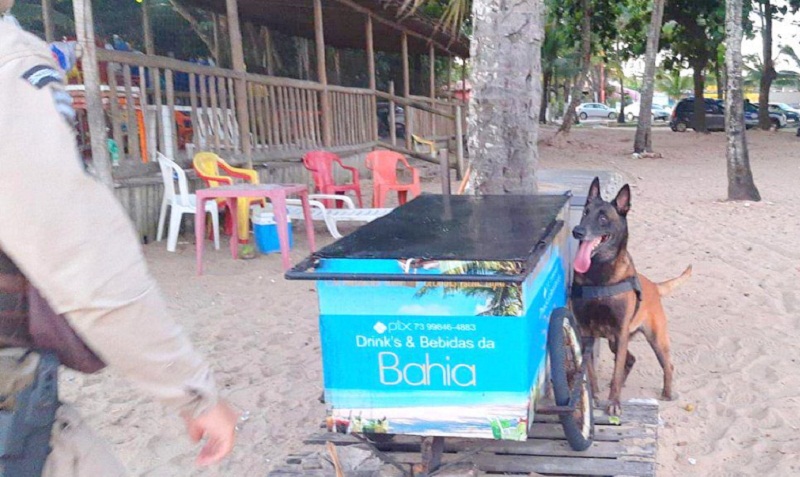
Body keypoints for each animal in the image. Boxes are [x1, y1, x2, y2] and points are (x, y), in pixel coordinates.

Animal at [572, 177, 692, 414]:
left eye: (602, 218)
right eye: (585, 212)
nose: (577, 231)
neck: (599, 276)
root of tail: (654, 286)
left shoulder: (620, 331)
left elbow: (617, 369)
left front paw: (614, 403)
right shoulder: (586, 332)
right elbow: (589, 371)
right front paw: (596, 396)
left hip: (655, 339)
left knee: (667, 364)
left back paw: (667, 392)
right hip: (615, 341)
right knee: (630, 360)